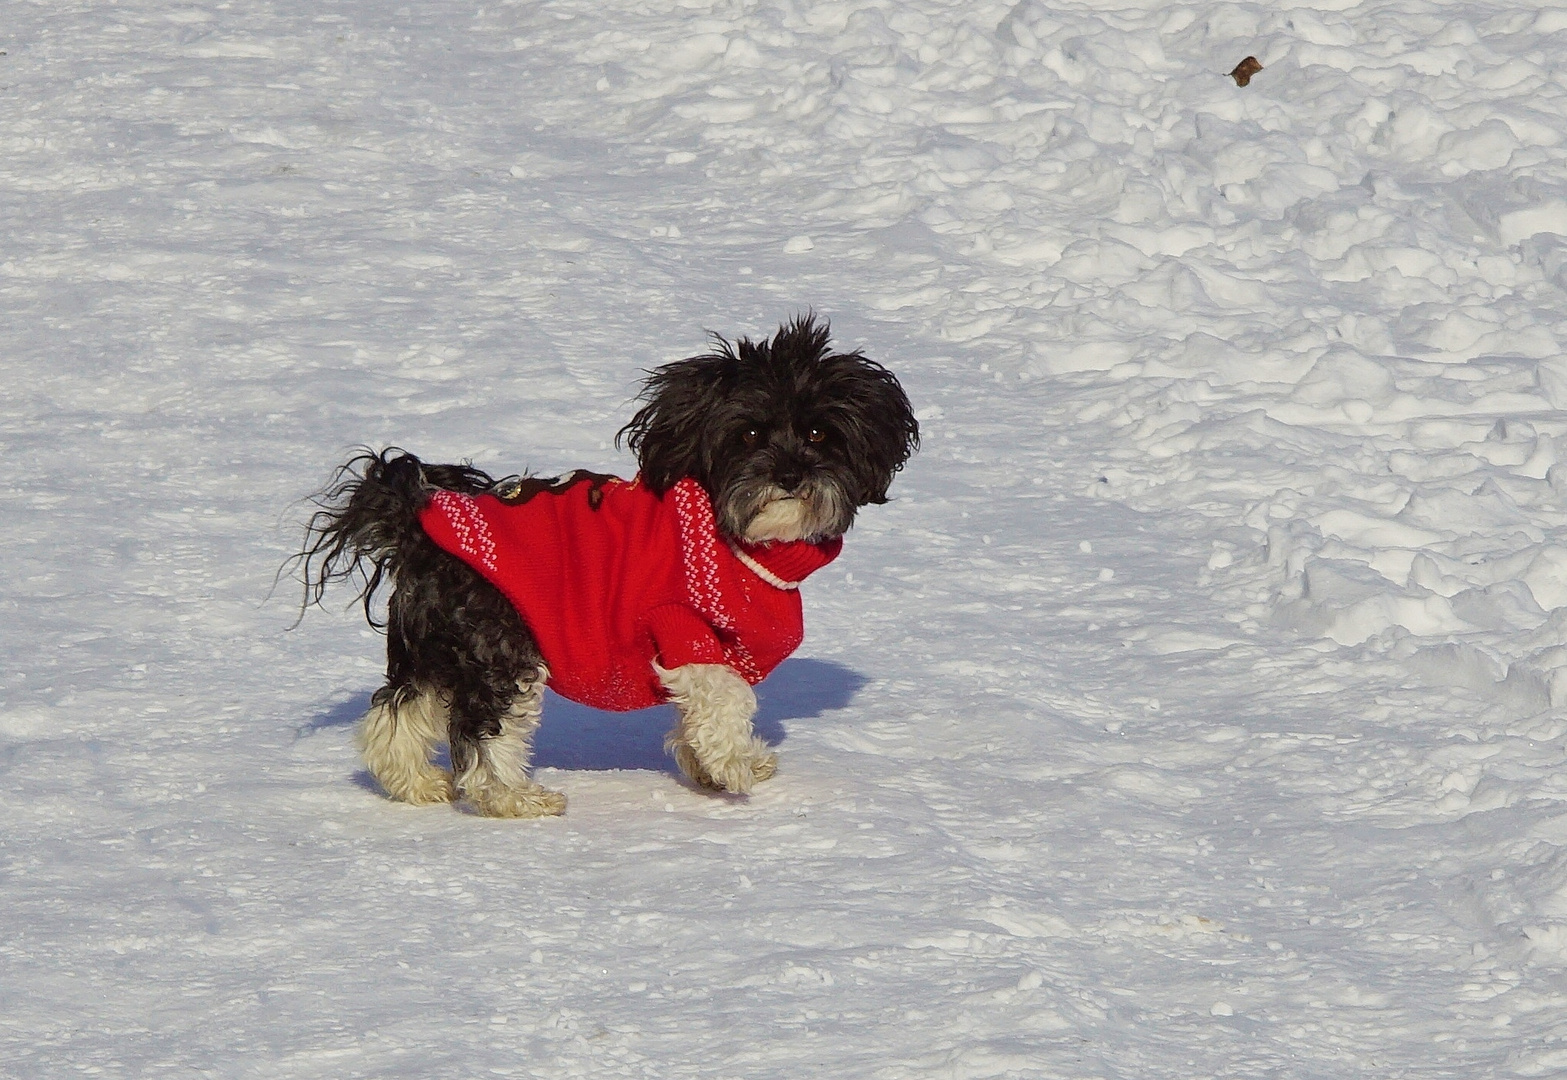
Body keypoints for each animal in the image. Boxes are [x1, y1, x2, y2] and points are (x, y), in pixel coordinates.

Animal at [294, 316, 915, 815]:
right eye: (750, 434)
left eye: (818, 431)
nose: (789, 475)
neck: (739, 540)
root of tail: (419, 525)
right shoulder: (681, 625)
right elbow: (724, 696)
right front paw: (732, 764)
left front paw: (713, 764)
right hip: (499, 647)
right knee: (483, 728)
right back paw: (514, 798)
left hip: (432, 650)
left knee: (394, 714)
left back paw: (418, 785)